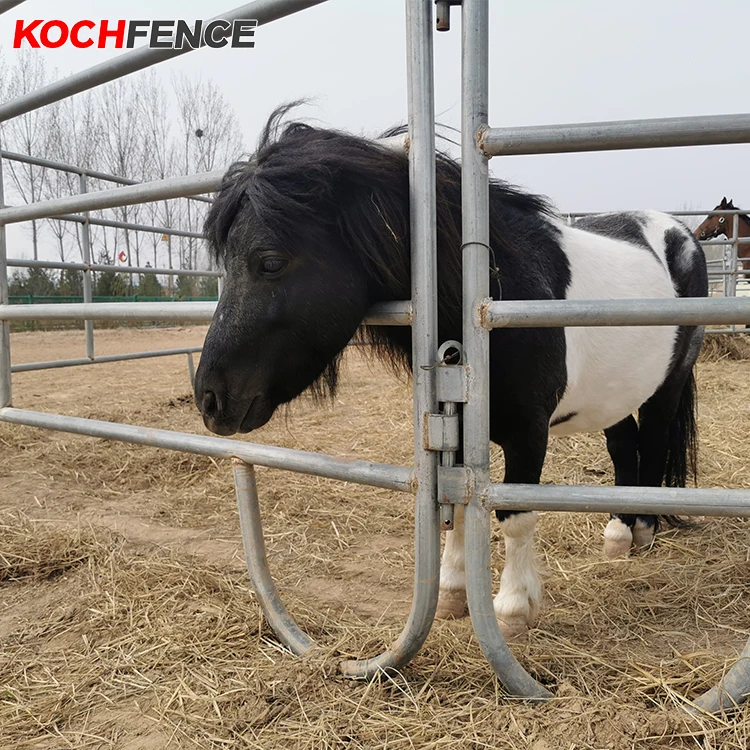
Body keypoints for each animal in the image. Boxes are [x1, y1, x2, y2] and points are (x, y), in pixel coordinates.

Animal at [194, 106, 708, 640]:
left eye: (270, 262)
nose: (210, 399)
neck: (495, 289)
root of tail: (680, 235)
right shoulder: (457, 429)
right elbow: (460, 506)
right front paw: (453, 592)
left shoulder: (529, 432)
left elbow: (515, 516)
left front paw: (512, 609)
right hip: (612, 394)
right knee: (624, 446)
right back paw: (618, 534)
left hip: (666, 387)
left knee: (653, 442)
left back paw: (644, 528)